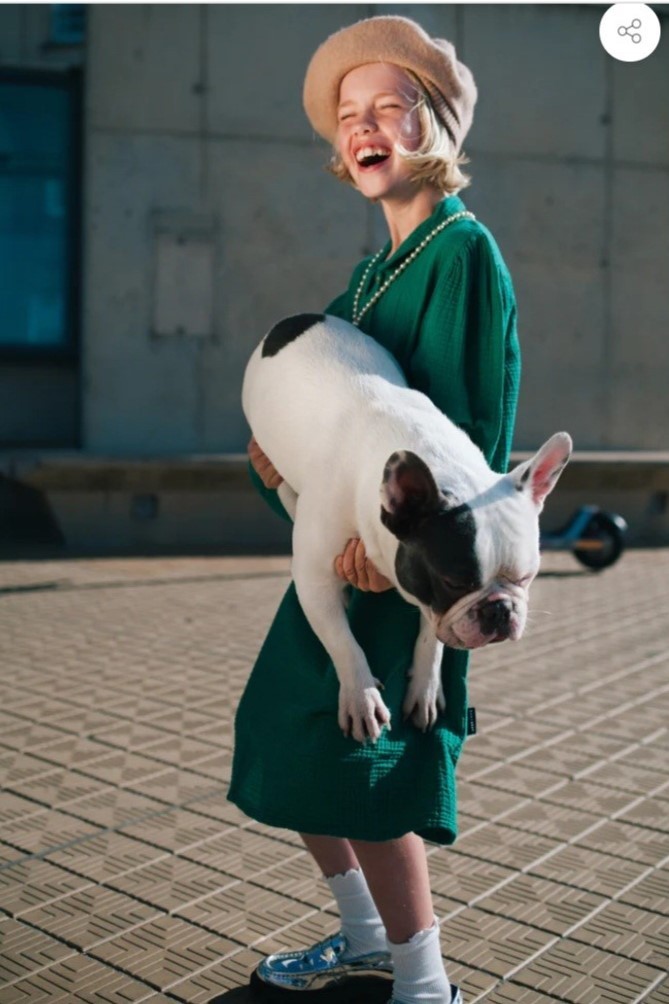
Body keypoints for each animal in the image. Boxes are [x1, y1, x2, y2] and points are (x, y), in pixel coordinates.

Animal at [243, 313, 572, 743]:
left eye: (526, 577)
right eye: (455, 582)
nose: (501, 609)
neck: (438, 462)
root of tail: (297, 319)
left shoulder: (432, 601)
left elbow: (433, 633)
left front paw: (425, 688)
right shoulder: (314, 578)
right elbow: (343, 642)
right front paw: (361, 697)